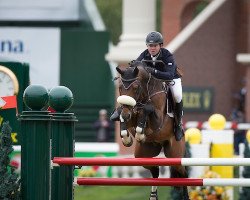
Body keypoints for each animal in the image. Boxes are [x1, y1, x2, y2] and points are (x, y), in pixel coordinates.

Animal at [115, 63, 189, 200]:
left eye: (136, 87)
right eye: (120, 87)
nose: (127, 114)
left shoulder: (158, 122)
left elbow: (147, 109)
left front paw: (140, 132)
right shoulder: (129, 116)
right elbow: (122, 116)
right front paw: (127, 138)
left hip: (175, 154)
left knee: (183, 173)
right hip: (143, 154)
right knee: (155, 171)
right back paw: (153, 196)